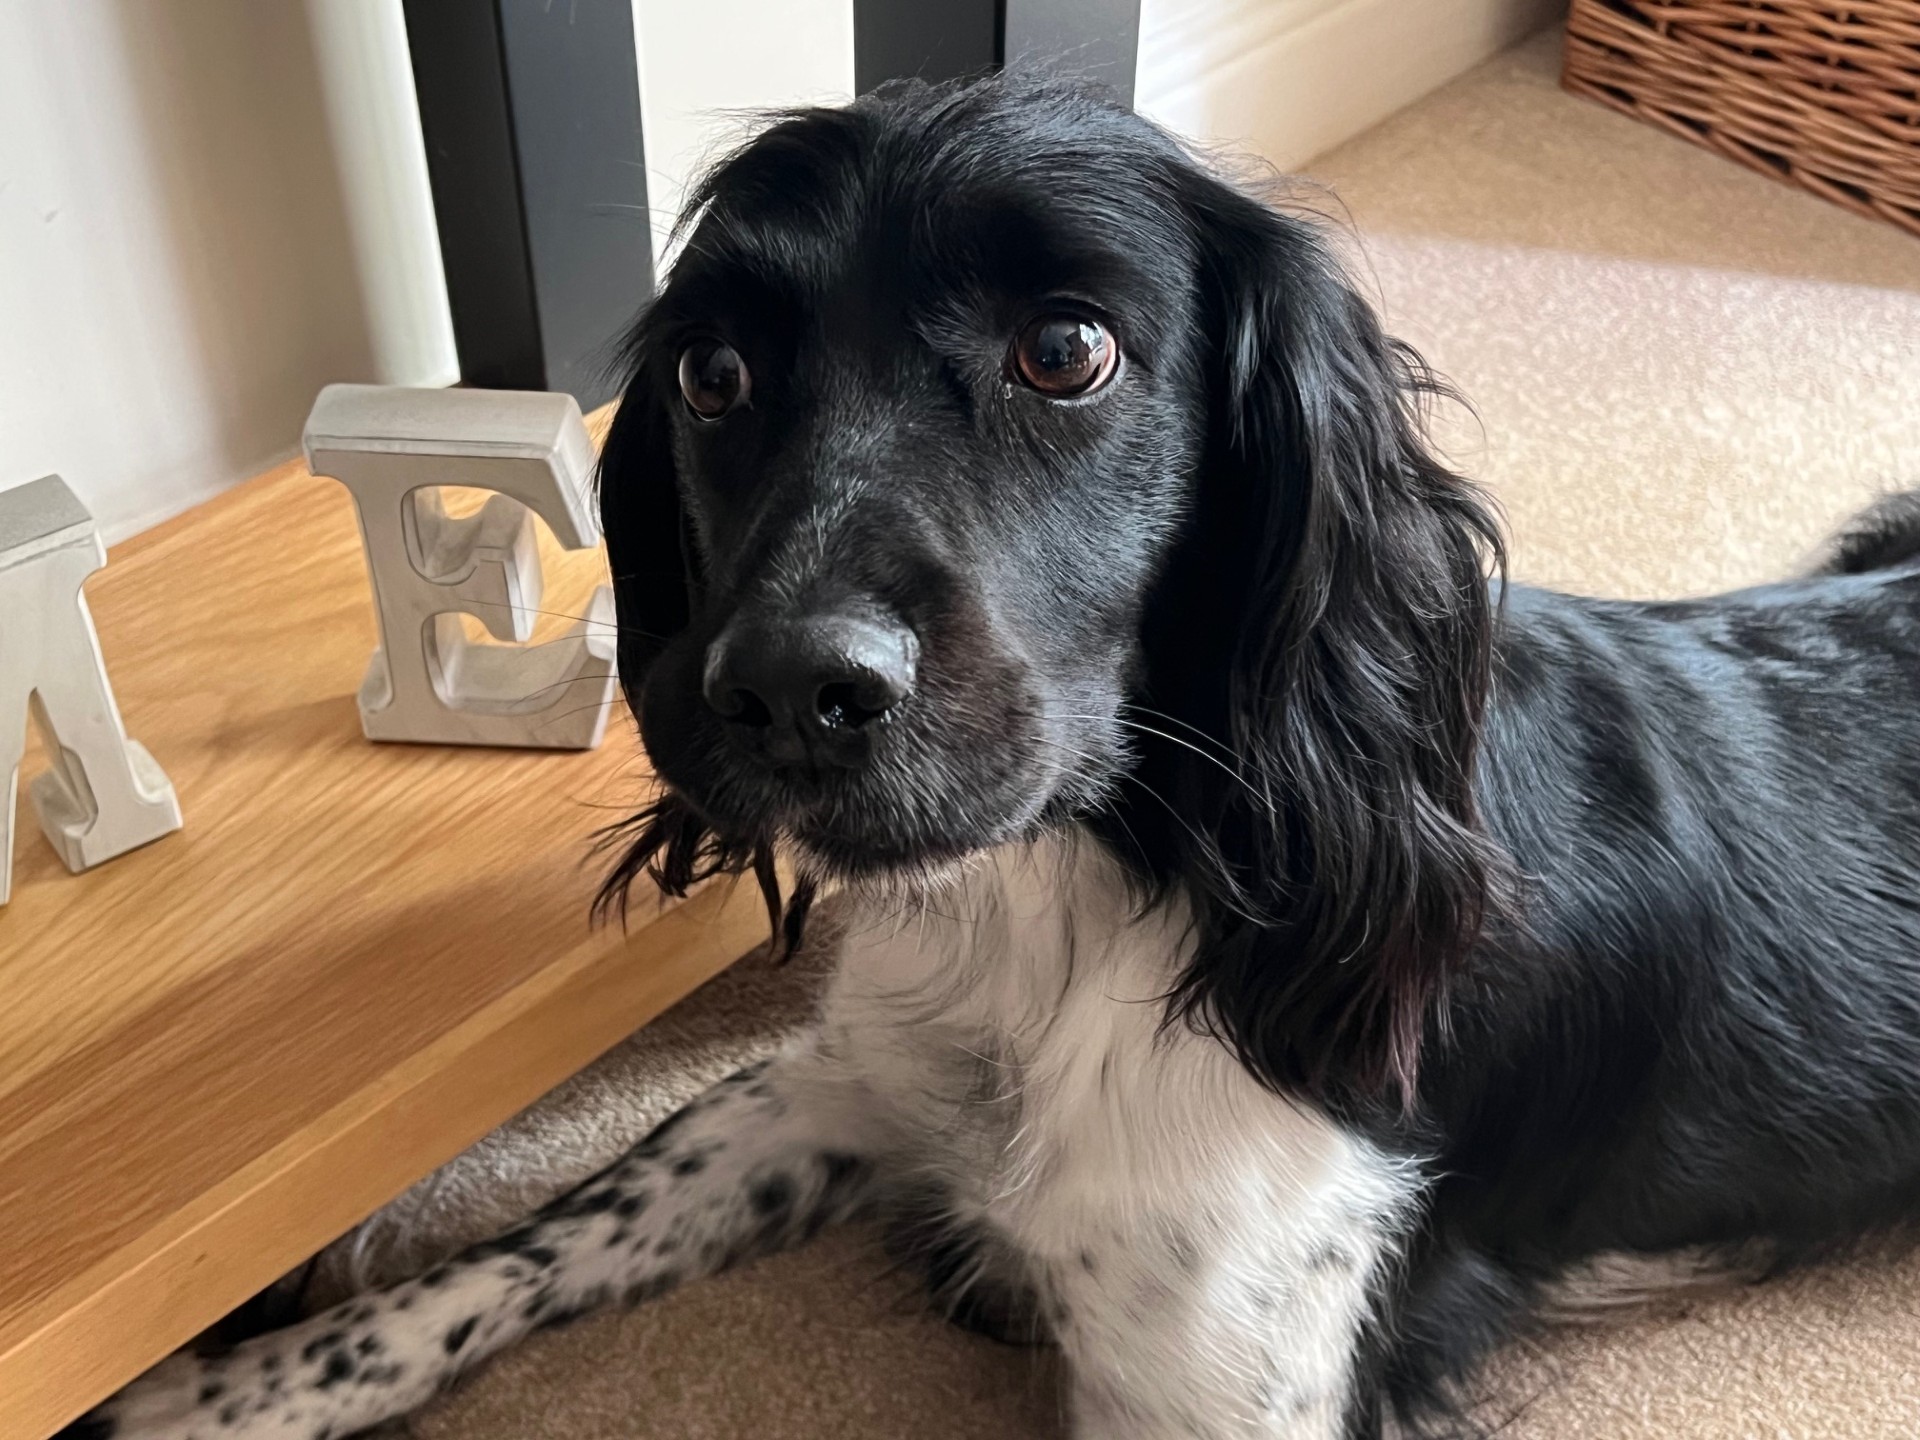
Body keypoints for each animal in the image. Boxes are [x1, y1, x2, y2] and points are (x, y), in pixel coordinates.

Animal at [71, 74, 1920, 1440]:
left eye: (1067, 349)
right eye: (715, 372)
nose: (782, 693)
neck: (1081, 897)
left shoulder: (1220, 1388)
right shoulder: (832, 1085)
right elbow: (536, 1236)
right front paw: (229, 1390)